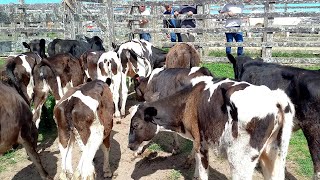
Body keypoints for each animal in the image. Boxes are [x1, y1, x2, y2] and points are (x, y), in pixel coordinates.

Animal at [127, 76, 296, 180]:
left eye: (135, 125)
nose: (129, 146)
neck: (188, 102)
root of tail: (275, 97)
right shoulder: (197, 140)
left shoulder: (201, 143)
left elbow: (203, 171)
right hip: (274, 154)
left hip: (240, 159)